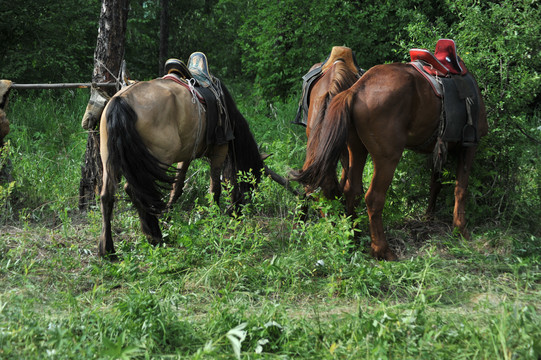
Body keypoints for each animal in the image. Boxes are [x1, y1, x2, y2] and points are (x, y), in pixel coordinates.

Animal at [99, 77, 266, 258]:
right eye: (253, 181)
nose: (241, 211)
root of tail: (121, 100)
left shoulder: (186, 155)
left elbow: (177, 187)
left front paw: (168, 214)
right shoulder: (220, 150)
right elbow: (217, 186)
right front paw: (215, 215)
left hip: (110, 162)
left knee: (107, 196)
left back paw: (108, 250)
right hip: (158, 160)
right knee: (137, 192)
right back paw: (154, 236)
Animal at [292, 60, 490, 260]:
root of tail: (356, 90)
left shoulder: (439, 150)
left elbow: (436, 184)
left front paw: (429, 217)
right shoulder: (469, 146)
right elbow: (461, 188)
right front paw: (460, 229)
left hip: (356, 150)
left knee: (351, 190)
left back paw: (354, 237)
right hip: (387, 158)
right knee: (373, 198)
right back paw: (382, 250)